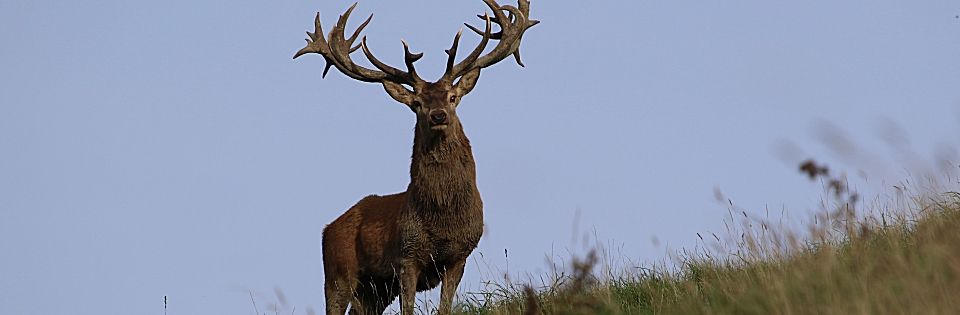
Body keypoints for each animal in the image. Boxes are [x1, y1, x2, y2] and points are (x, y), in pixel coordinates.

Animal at [292, 1, 536, 315]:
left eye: (453, 96)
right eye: (417, 103)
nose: (438, 115)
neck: (443, 222)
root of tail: (328, 228)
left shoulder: (459, 256)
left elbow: (445, 307)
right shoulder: (406, 256)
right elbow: (407, 308)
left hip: (374, 290)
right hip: (337, 272)